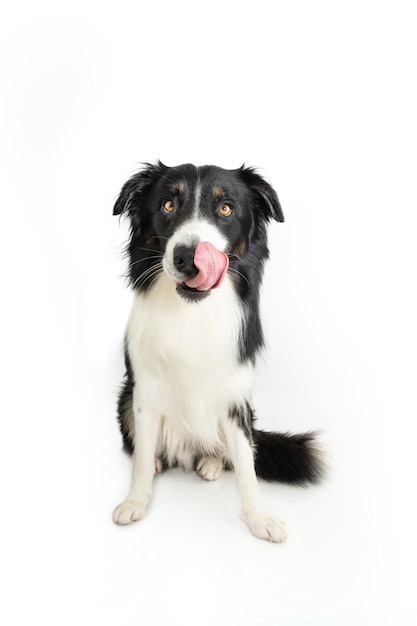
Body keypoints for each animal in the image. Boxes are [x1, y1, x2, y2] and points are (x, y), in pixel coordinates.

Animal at [112, 162, 324, 540]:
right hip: (125, 398)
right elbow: (140, 459)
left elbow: (245, 467)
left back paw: (210, 462)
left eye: (225, 209)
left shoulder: (235, 397)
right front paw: (135, 501)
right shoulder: (145, 392)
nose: (187, 258)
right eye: (168, 205)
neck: (192, 313)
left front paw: (260, 519)